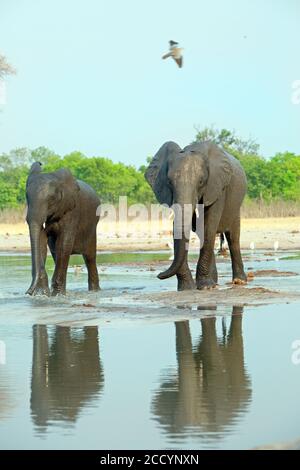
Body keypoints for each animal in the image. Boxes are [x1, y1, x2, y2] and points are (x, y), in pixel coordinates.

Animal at [25, 162, 101, 294]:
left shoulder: (72, 210)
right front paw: (42, 293)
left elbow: (63, 244)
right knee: (55, 253)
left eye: (51, 199)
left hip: (92, 225)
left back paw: (94, 291)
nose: (28, 292)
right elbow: (41, 242)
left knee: (89, 257)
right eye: (27, 197)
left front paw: (57, 294)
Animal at [145, 140, 246, 290]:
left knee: (233, 237)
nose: (159, 274)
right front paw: (187, 288)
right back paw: (215, 282)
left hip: (235, 205)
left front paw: (205, 287)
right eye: (169, 182)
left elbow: (209, 225)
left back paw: (239, 281)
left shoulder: (217, 187)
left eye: (201, 182)